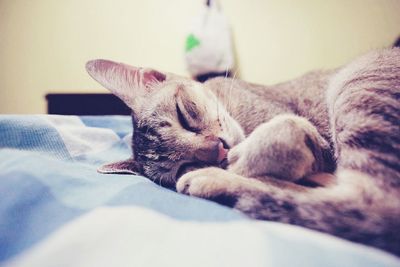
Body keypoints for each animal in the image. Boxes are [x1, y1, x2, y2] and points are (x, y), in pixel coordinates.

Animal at [86, 48, 400, 258]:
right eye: (181, 165)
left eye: (184, 115)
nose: (218, 151)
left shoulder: (313, 137)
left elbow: (283, 132)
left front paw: (245, 158)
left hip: (357, 81)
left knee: (369, 202)